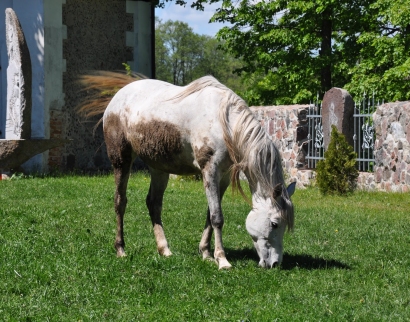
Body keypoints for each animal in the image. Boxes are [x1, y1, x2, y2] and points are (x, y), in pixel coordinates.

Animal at [84, 75, 294, 270]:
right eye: (275, 223)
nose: (275, 263)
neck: (224, 123)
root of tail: (118, 96)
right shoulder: (210, 170)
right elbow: (217, 217)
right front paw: (222, 260)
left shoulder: (223, 176)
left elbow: (210, 215)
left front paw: (206, 254)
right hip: (122, 160)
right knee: (120, 201)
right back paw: (121, 249)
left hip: (159, 168)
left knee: (154, 203)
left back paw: (164, 250)